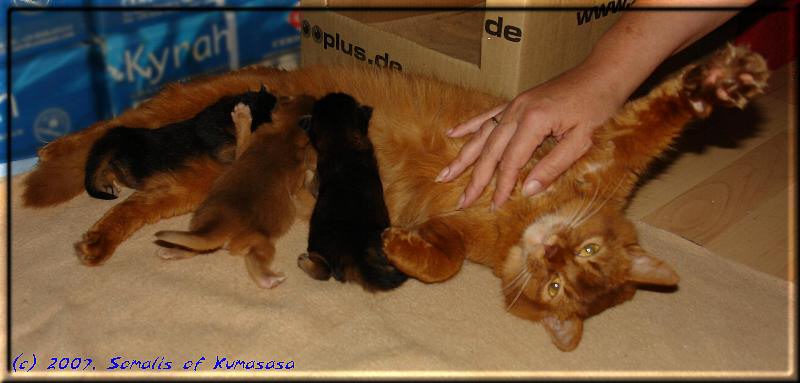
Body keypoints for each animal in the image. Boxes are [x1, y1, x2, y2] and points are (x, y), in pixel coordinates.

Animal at [83, 85, 278, 201]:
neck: (223, 117)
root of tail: (122, 133)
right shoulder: (228, 153)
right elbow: (244, 136)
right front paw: (242, 116)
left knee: (108, 168)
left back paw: (108, 184)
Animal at [152, 95, 318, 288]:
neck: (285, 133)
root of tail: (218, 226)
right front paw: (242, 116)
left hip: (198, 226)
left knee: (194, 248)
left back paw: (170, 252)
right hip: (261, 243)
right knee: (254, 262)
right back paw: (270, 279)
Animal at [294, 93, 406, 292]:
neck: (343, 143)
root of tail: (355, 253)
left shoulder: (318, 180)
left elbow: (310, 181)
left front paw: (306, 173)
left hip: (317, 245)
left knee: (324, 271)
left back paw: (304, 262)